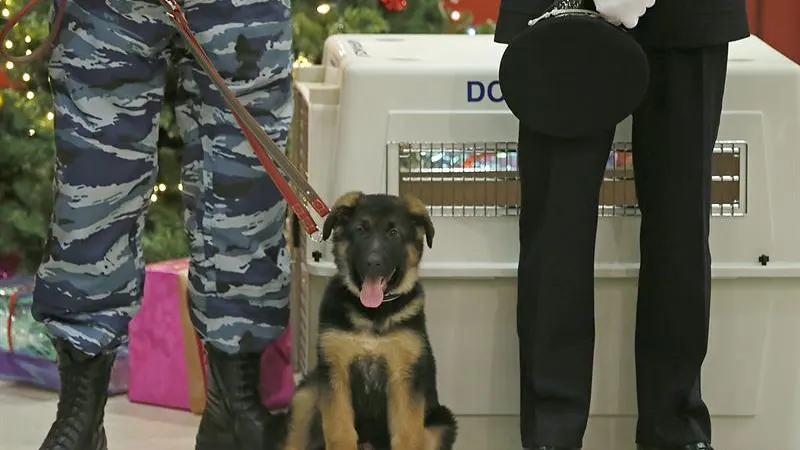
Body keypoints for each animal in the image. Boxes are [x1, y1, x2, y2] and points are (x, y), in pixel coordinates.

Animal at [278, 192, 460, 450]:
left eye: (394, 233)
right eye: (361, 230)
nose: (373, 263)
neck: (374, 313)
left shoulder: (404, 379)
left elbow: (406, 434)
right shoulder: (336, 374)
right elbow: (340, 432)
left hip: (441, 423)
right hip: (307, 395)